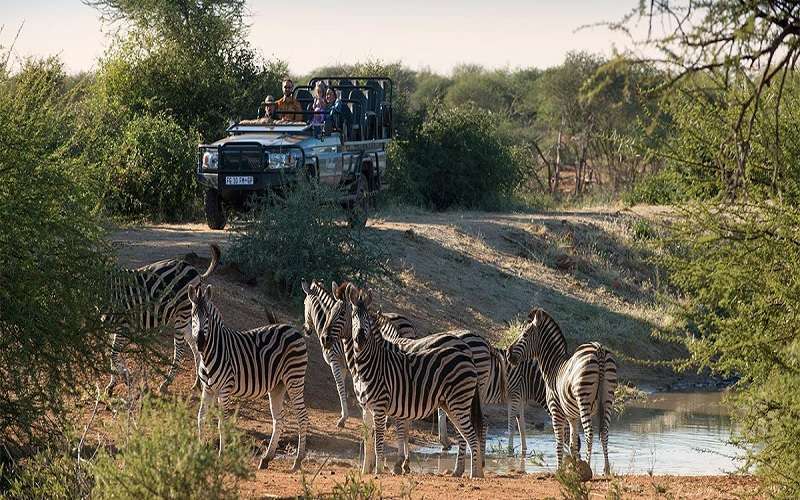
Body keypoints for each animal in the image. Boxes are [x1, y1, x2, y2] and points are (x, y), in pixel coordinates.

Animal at [104, 244, 222, 396]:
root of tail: (195, 271)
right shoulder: (109, 328)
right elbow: (111, 354)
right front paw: (112, 384)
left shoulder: (124, 326)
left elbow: (113, 355)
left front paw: (126, 377)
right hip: (189, 317)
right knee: (194, 346)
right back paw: (197, 383)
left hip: (182, 314)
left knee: (179, 349)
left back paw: (166, 383)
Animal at [188, 284, 310, 470]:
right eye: (193, 315)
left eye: (207, 316)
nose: (200, 342)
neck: (211, 352)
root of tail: (292, 329)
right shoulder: (207, 389)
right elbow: (201, 417)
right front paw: (199, 450)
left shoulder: (224, 389)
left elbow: (222, 422)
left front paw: (221, 454)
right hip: (278, 385)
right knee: (278, 419)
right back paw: (267, 458)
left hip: (294, 378)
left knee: (302, 416)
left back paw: (297, 460)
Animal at [298, 280, 416, 428]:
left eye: (304, 303)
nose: (306, 329)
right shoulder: (346, 365)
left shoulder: (336, 360)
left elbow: (340, 387)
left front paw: (344, 418)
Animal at [506, 306, 620, 474]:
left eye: (525, 335)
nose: (508, 354)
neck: (554, 367)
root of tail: (598, 348)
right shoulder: (572, 416)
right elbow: (573, 443)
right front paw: (574, 467)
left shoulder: (555, 411)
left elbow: (559, 441)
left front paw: (560, 469)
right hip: (608, 399)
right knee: (604, 432)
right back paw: (606, 469)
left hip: (584, 398)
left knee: (590, 433)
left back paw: (588, 466)